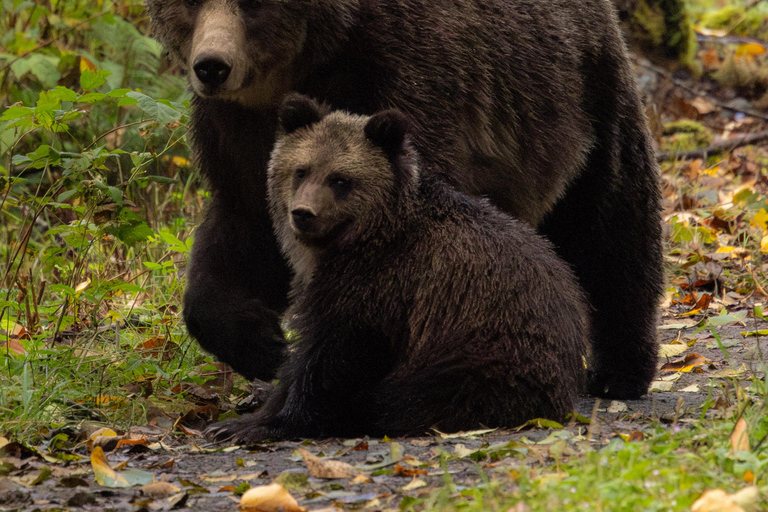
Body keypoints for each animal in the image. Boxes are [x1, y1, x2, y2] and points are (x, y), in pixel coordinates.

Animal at [145, 0, 663, 399]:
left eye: (254, 4)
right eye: (190, 2)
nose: (212, 65)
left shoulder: (404, 75)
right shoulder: (239, 132)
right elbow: (243, 231)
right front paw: (262, 343)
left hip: (582, 97)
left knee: (613, 223)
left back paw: (620, 371)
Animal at [205, 95, 590, 443]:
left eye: (340, 180)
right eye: (301, 170)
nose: (303, 213)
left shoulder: (381, 289)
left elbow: (332, 360)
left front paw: (267, 424)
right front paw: (238, 421)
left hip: (484, 351)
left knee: (411, 396)